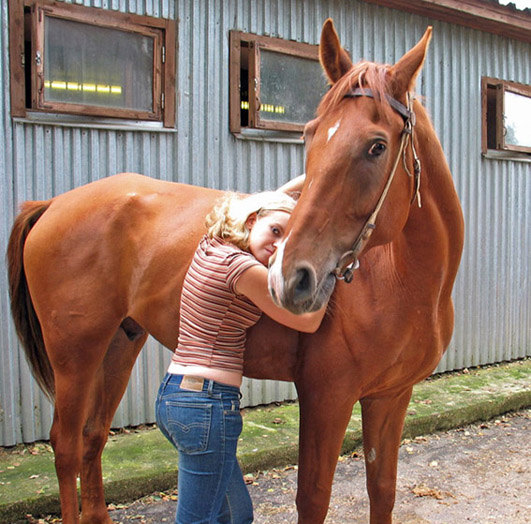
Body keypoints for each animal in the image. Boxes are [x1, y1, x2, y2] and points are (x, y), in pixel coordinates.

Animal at [9, 18, 466, 524]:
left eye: (377, 146)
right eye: (310, 135)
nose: (291, 278)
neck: (401, 283)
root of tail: (52, 204)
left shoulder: (391, 396)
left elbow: (382, 490)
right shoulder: (327, 397)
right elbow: (313, 497)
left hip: (119, 343)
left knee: (92, 436)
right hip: (76, 354)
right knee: (67, 445)